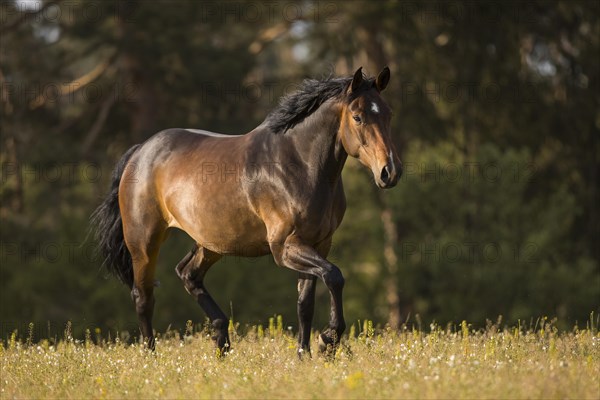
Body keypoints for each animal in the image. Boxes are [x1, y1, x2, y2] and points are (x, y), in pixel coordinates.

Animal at [91, 67, 400, 358]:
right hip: (144, 243)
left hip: (211, 243)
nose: (390, 172)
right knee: (143, 296)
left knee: (188, 274)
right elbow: (334, 276)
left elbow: (306, 303)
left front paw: (305, 354)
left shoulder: (318, 244)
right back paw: (152, 356)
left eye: (387, 114)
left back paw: (222, 342)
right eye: (357, 117)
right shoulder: (285, 248)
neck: (299, 165)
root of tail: (139, 152)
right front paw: (328, 341)